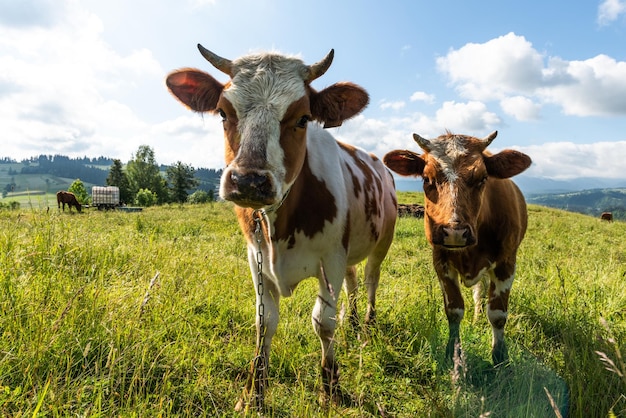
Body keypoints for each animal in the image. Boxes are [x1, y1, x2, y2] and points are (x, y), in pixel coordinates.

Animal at [163, 45, 392, 408]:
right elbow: (264, 323)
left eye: (303, 118)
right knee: (354, 282)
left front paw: (330, 387)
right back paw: (353, 321)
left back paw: (366, 326)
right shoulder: (255, 257)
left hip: (381, 242)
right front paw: (253, 394)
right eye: (223, 113)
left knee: (371, 280)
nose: (249, 181)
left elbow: (323, 322)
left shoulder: (331, 257)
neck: (279, 225)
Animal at [382, 131, 528, 366]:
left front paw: (499, 356)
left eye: (483, 178)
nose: (455, 232)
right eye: (426, 179)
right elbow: (454, 310)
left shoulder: (506, 263)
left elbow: (498, 315)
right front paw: (453, 352)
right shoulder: (441, 261)